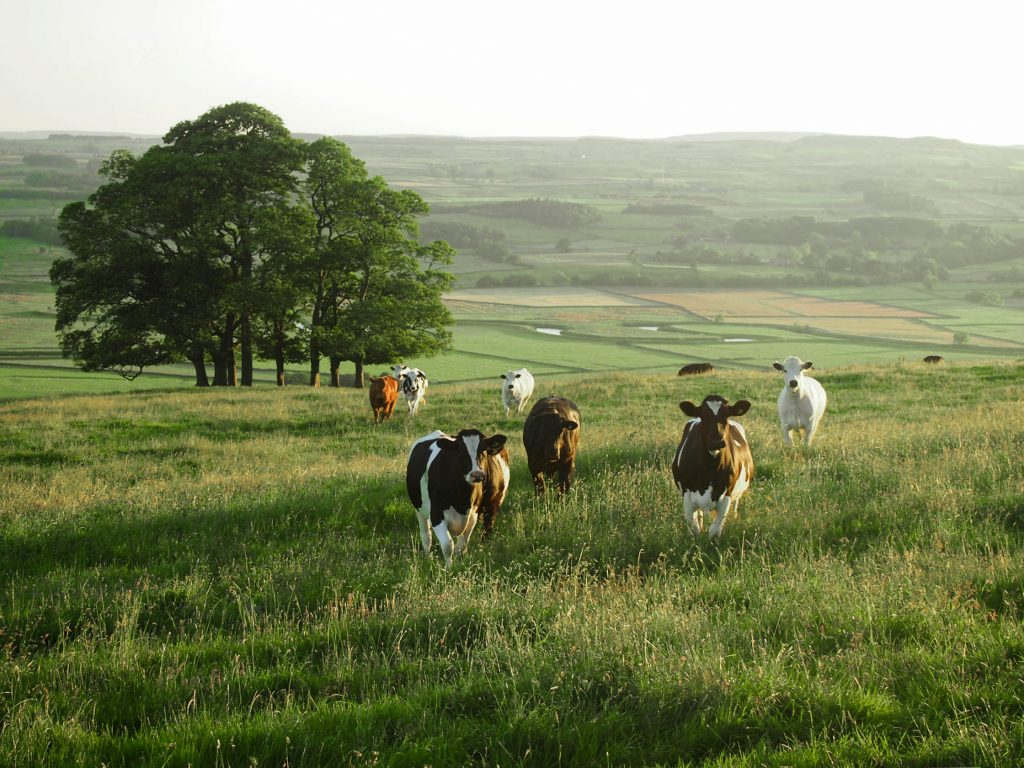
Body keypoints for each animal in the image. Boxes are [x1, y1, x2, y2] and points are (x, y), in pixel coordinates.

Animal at [403, 428, 507, 565]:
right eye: (461, 450)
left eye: (483, 449)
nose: (476, 474)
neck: (462, 499)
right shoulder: (436, 514)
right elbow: (448, 545)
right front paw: (448, 567)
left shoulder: (473, 515)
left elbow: (461, 545)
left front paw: (459, 564)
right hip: (419, 509)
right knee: (426, 536)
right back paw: (427, 558)